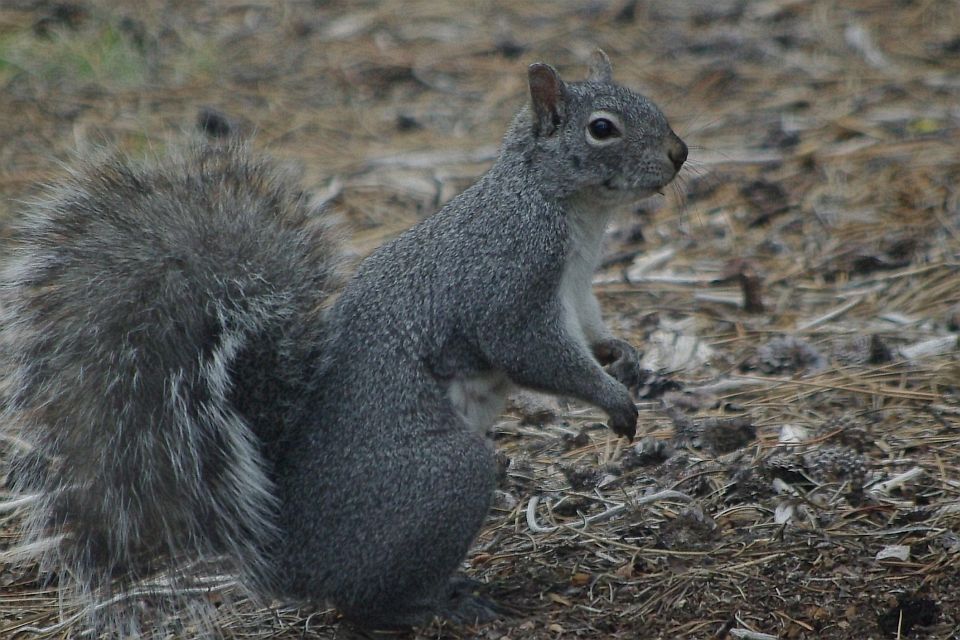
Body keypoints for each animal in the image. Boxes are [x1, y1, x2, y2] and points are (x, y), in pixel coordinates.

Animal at [0, 50, 686, 634]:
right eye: (603, 129)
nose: (680, 153)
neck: (562, 207)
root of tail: (285, 560)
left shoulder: (579, 292)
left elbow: (590, 333)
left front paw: (622, 358)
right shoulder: (507, 278)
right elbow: (530, 352)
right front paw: (614, 398)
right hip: (443, 481)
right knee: (364, 604)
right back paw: (438, 603)